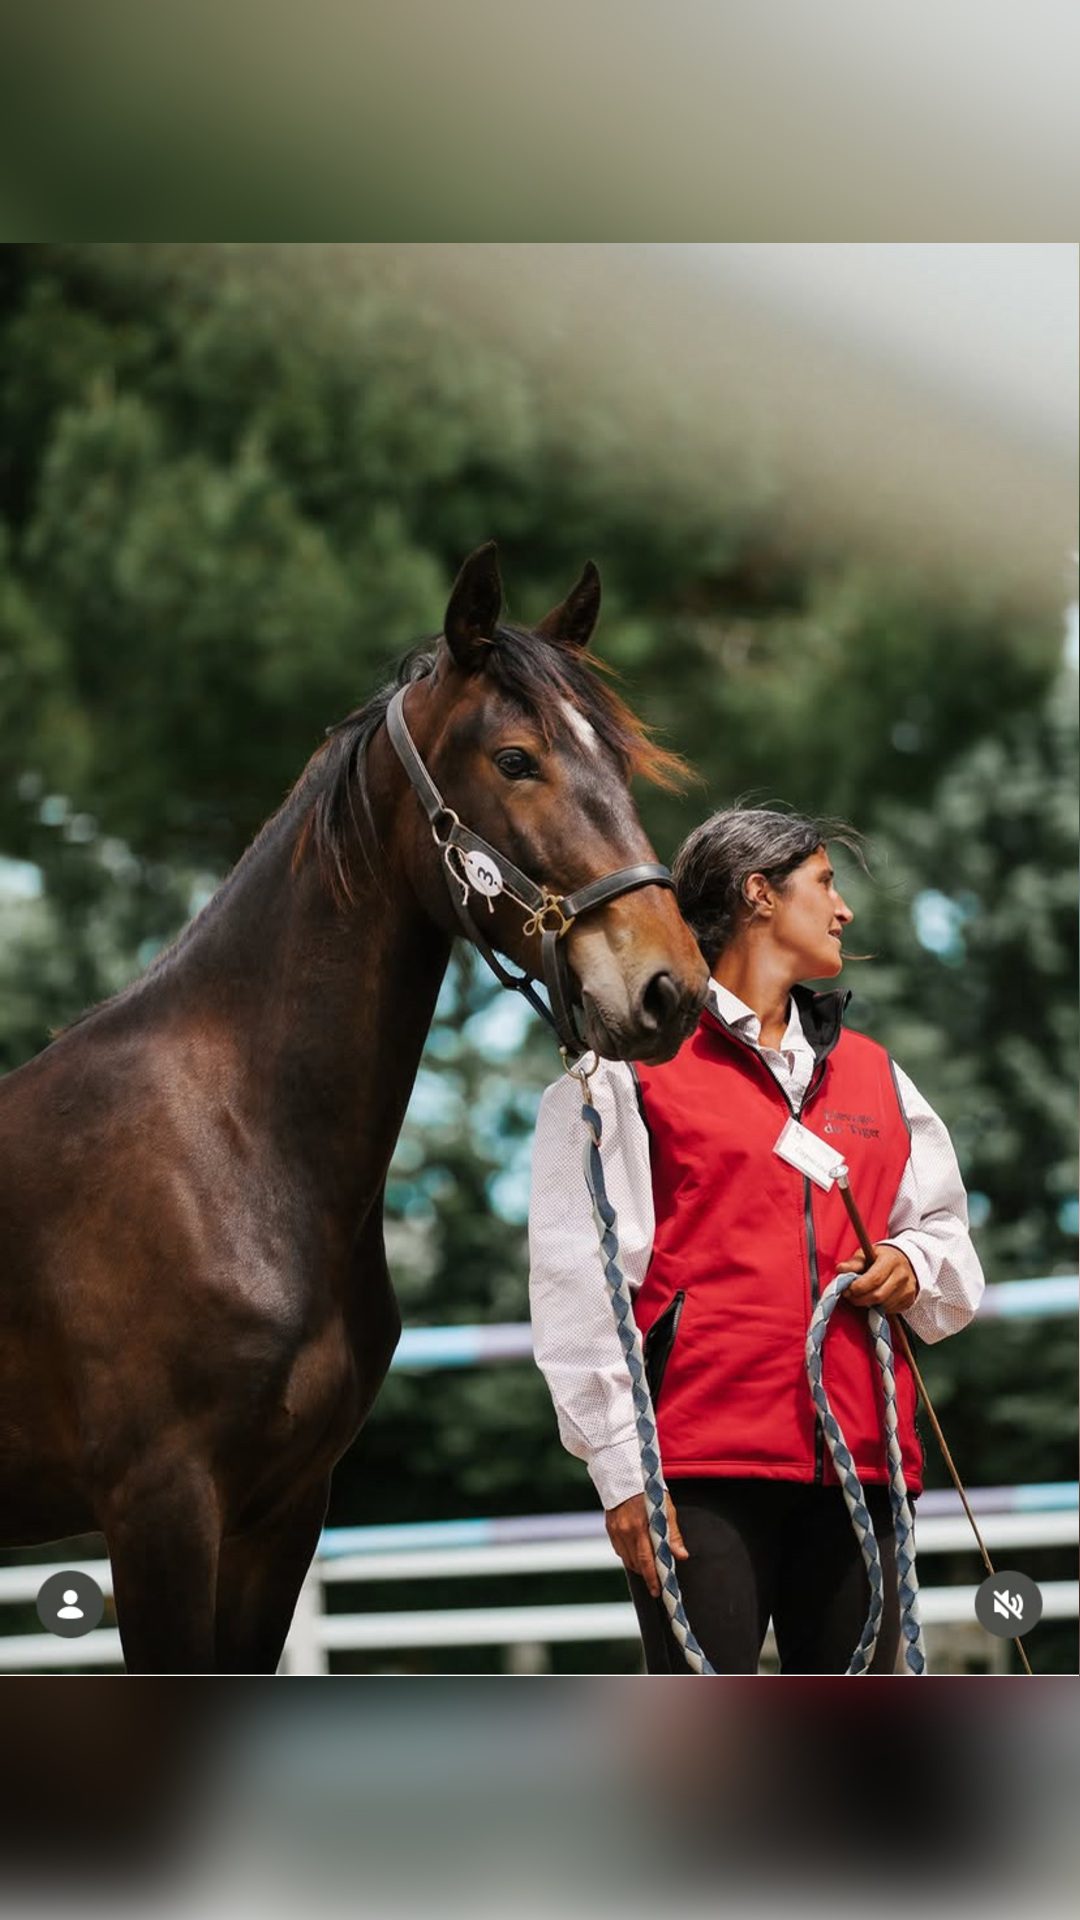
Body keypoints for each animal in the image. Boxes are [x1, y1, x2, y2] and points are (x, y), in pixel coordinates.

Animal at [0, 542, 708, 1672]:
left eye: (623, 763)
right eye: (516, 760)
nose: (667, 987)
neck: (232, 1150)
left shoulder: (282, 1513)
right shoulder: (159, 1508)